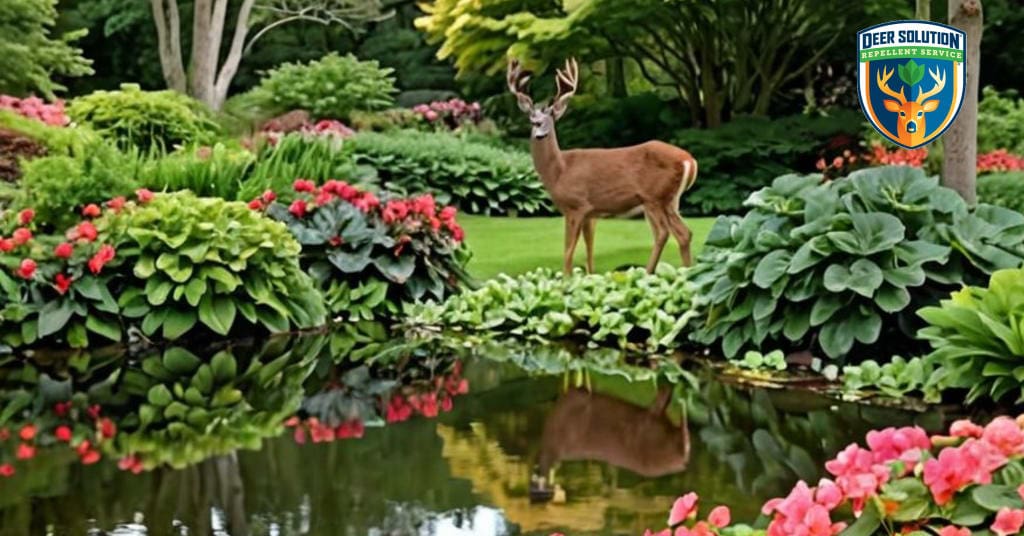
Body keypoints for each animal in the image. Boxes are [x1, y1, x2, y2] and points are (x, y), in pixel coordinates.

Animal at [507, 58, 698, 275]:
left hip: (655, 197)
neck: (559, 170)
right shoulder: (591, 213)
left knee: (667, 232)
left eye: (551, 116)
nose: (539, 130)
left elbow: (568, 251)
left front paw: (566, 278)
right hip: (670, 200)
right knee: (682, 233)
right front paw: (588, 275)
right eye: (532, 118)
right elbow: (589, 250)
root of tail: (689, 160)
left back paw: (654, 272)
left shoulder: (577, 205)